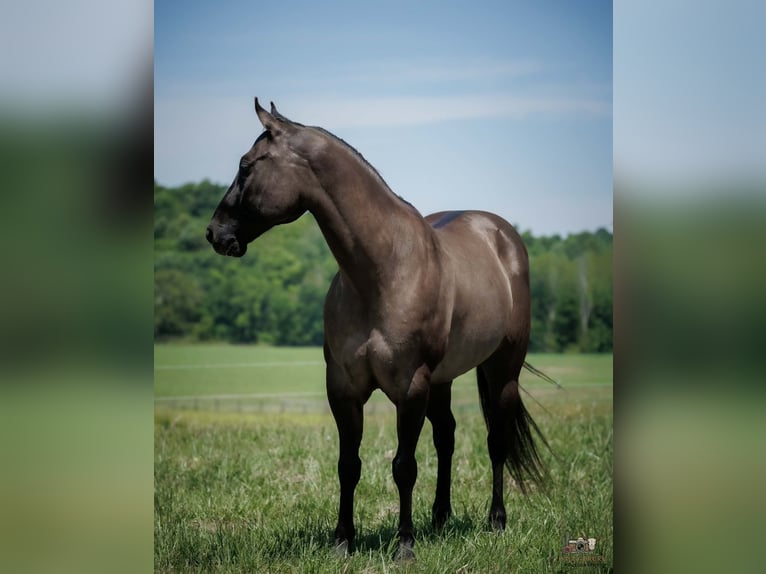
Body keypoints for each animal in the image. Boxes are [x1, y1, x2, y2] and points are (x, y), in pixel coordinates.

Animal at [206, 99, 548, 560]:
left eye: (246, 165)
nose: (214, 233)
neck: (382, 273)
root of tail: (502, 235)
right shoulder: (343, 387)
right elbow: (348, 465)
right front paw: (342, 542)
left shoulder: (410, 386)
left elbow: (404, 466)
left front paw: (404, 545)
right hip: (443, 379)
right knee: (447, 436)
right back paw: (440, 518)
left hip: (501, 369)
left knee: (497, 439)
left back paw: (496, 521)